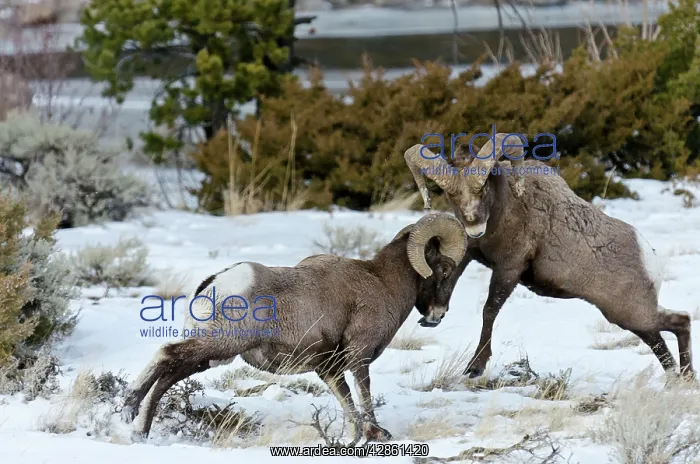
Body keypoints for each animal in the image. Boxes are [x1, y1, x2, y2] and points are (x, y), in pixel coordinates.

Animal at [121, 212, 469, 443]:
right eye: (446, 270)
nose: (437, 315)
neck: (382, 283)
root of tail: (216, 282)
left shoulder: (329, 369)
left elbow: (348, 405)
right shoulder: (359, 356)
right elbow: (364, 395)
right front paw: (375, 435)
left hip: (212, 357)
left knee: (169, 375)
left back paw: (140, 431)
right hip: (220, 343)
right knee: (166, 353)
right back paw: (128, 407)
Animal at [404, 132, 695, 380]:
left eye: (483, 187)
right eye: (450, 194)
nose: (475, 228)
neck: (507, 210)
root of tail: (650, 258)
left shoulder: (509, 269)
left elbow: (489, 311)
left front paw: (475, 367)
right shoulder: (468, 254)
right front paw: (433, 316)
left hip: (630, 315)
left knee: (681, 322)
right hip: (632, 319)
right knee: (665, 341)